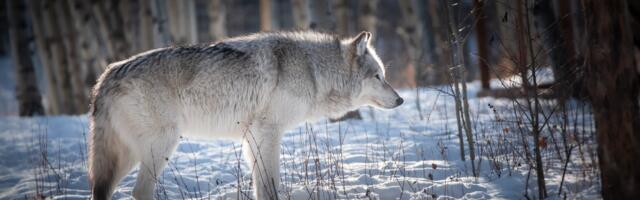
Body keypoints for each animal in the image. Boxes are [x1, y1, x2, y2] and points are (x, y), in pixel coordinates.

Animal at [87, 30, 402, 199]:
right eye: (378, 76)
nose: (400, 100)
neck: (314, 71)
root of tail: (106, 76)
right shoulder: (268, 133)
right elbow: (270, 184)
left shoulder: (252, 137)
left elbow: (260, 186)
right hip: (161, 145)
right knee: (139, 192)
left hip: (126, 156)